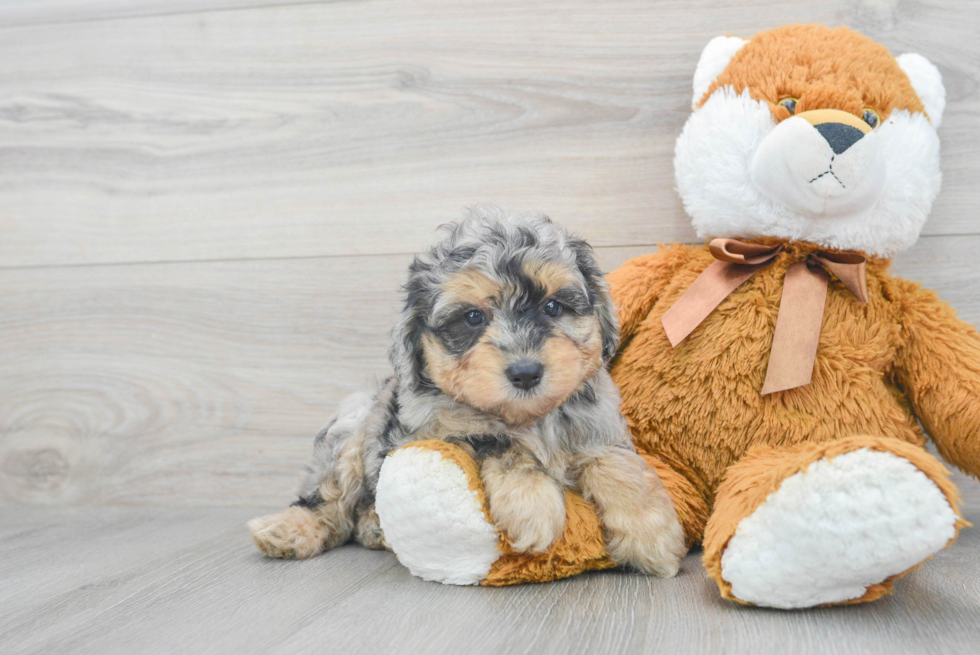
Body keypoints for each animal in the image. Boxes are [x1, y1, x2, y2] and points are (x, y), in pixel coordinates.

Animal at [249, 208, 684, 576]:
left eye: (553, 307)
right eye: (473, 317)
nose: (525, 372)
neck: (529, 418)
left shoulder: (599, 426)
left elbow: (617, 463)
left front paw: (651, 534)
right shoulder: (433, 431)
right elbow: (499, 444)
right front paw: (532, 505)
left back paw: (373, 527)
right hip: (351, 431)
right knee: (328, 502)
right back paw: (289, 531)